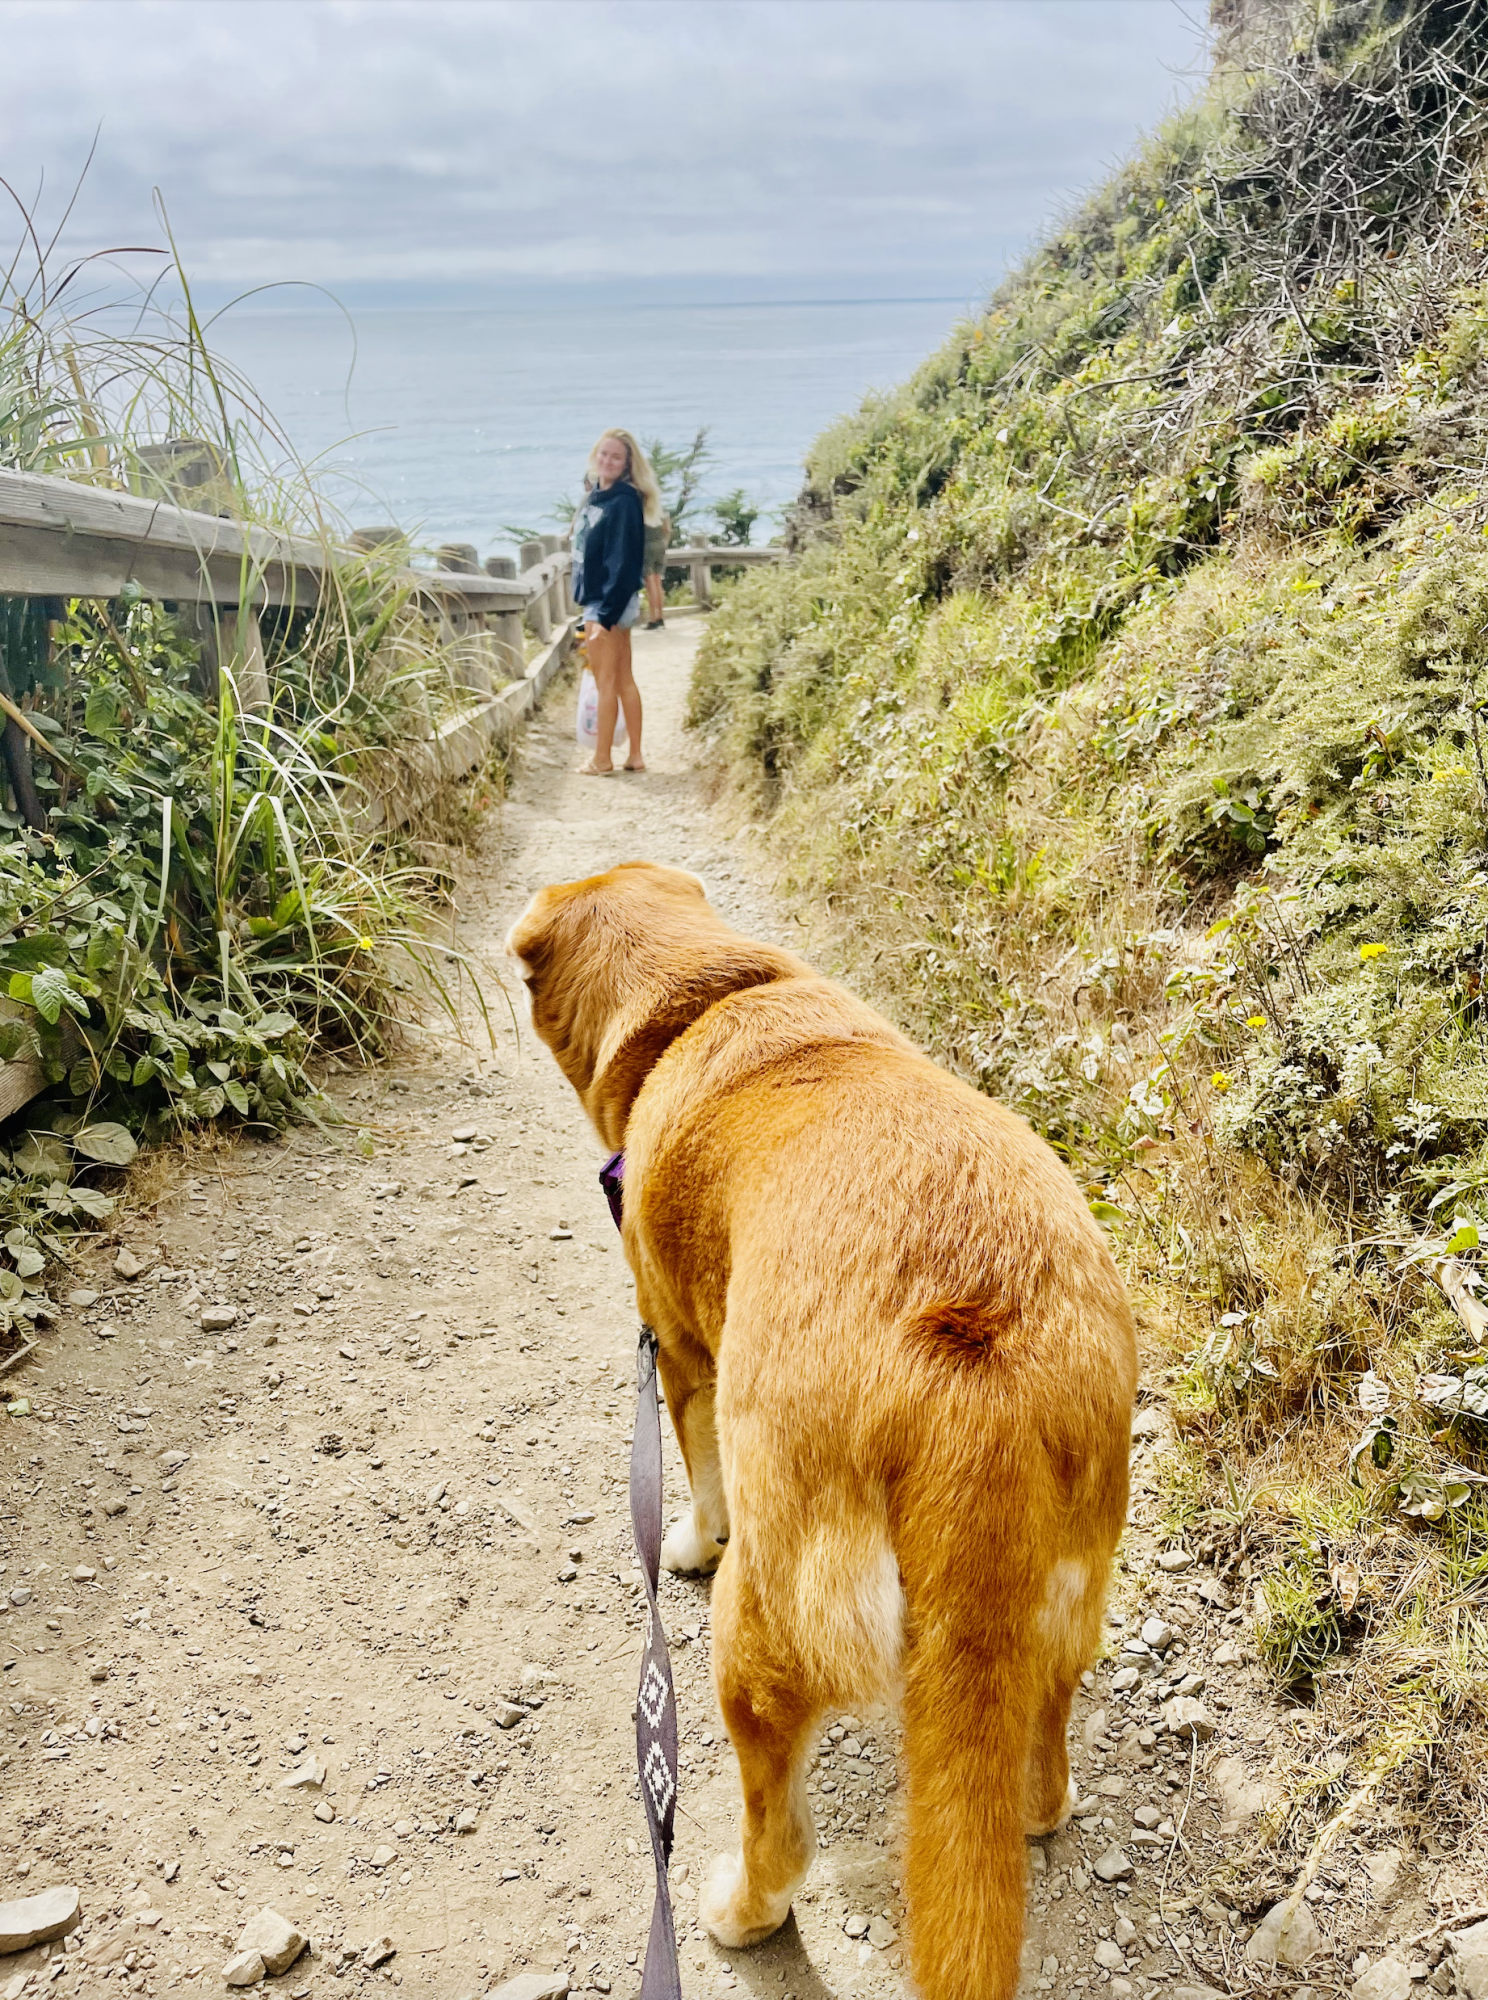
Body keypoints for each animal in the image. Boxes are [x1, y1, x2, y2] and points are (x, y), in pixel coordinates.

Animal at [506, 861, 1136, 2000]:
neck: (700, 1000)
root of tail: (968, 1367)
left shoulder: (679, 1352)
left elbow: (697, 1475)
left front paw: (686, 1541)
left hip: (762, 1631)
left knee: (781, 1830)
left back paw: (739, 1910)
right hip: (1064, 1606)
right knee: (1040, 1767)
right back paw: (1036, 1806)